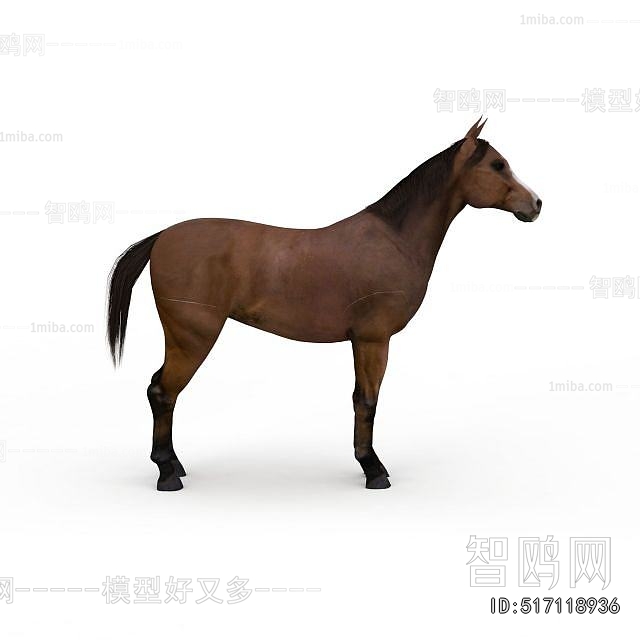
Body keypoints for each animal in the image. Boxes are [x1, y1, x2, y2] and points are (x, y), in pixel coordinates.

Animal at [107, 118, 541, 492]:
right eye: (498, 165)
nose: (536, 204)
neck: (395, 239)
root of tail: (162, 236)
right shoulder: (373, 340)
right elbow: (367, 402)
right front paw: (373, 470)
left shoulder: (360, 342)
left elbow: (359, 399)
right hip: (192, 338)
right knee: (162, 392)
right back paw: (167, 473)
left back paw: (174, 464)